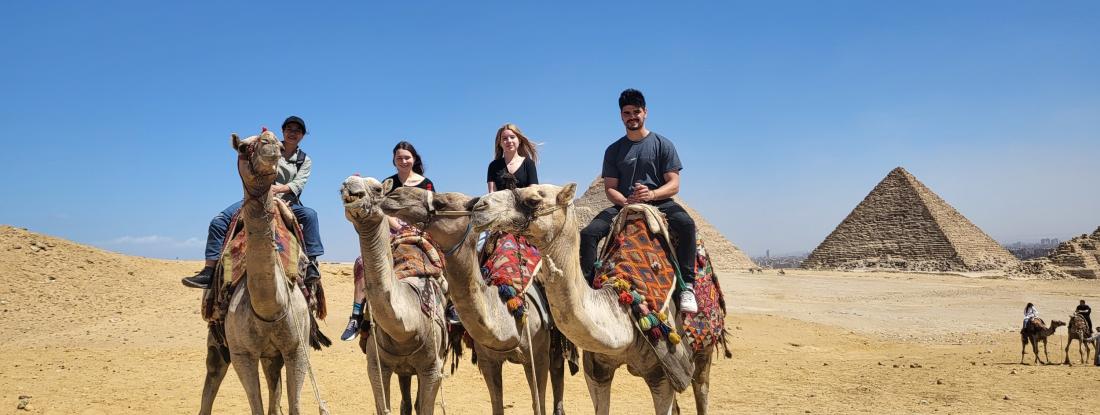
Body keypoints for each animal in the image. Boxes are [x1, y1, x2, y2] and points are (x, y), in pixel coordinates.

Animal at [214, 129, 325, 413]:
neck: (268, 309)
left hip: (272, 356)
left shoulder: (297, 349)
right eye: (243, 147)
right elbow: (257, 407)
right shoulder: (242, 354)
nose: (270, 142)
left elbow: (294, 405)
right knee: (213, 374)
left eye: (278, 143)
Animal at [341, 175, 448, 413]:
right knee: (406, 400)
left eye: (378, 189)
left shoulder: (432, 370)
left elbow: (425, 407)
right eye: (342, 186)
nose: (349, 186)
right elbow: (385, 407)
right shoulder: (376, 366)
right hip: (402, 369)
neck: (407, 328)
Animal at [380, 188, 572, 413]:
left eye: (441, 202)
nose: (395, 195)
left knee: (557, 367)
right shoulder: (487, 360)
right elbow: (497, 405)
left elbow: (538, 403)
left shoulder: (538, 355)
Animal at [473, 183, 730, 413]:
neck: (626, 307)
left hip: (703, 350)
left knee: (701, 389)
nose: (479, 205)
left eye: (534, 200)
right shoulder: (596, 372)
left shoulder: (664, 375)